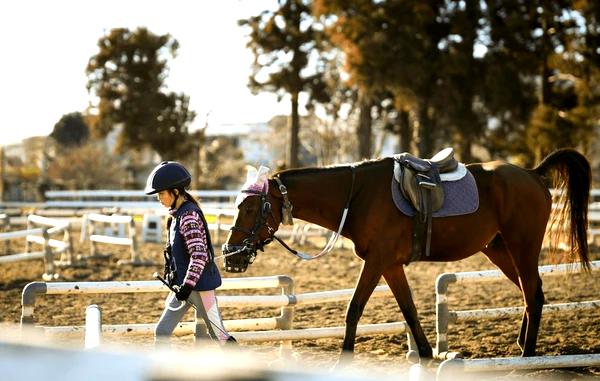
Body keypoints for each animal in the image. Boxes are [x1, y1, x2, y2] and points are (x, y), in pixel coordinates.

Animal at [221, 148, 592, 360]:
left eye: (251, 208)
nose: (230, 255)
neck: (357, 195)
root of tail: (532, 174)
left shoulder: (377, 261)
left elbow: (353, 309)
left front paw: (344, 358)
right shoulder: (391, 265)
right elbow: (409, 310)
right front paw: (426, 354)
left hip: (522, 246)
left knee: (532, 294)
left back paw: (527, 356)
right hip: (500, 251)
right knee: (533, 293)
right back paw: (522, 345)